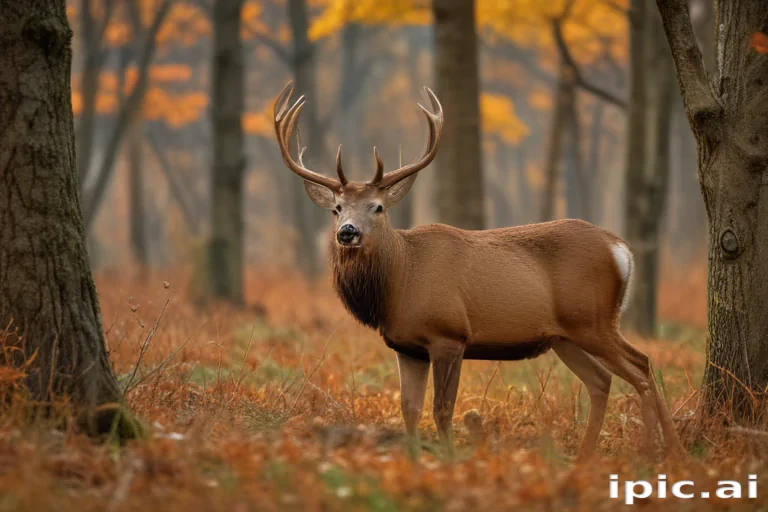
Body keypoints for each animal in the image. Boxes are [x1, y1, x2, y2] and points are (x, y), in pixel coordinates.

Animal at [273, 81, 684, 460]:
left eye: (378, 207)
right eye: (337, 208)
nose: (347, 232)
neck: (401, 279)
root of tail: (622, 250)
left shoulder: (449, 334)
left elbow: (442, 410)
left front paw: (451, 461)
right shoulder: (407, 346)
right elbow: (409, 410)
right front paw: (414, 463)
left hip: (593, 319)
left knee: (641, 366)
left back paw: (653, 452)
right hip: (565, 335)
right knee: (604, 379)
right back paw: (601, 456)